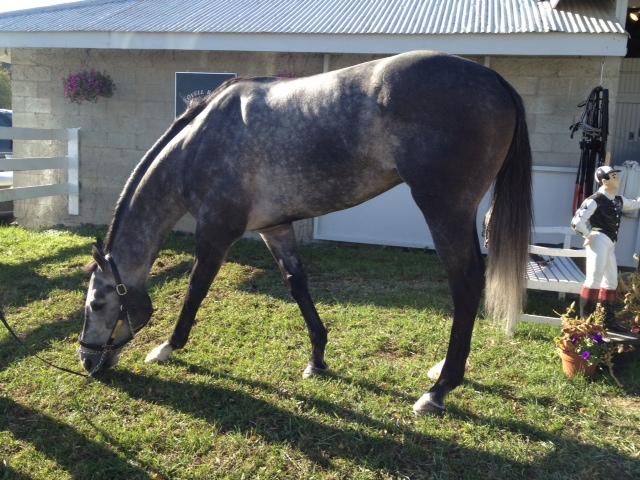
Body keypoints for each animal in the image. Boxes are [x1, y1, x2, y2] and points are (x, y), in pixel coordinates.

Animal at [80, 50, 532, 416]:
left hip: (445, 211)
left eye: (97, 304)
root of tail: (495, 80)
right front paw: (317, 359)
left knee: (466, 283)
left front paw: (166, 348)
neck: (198, 145)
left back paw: (438, 390)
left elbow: (195, 290)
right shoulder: (274, 228)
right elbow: (297, 285)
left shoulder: (215, 233)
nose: (87, 361)